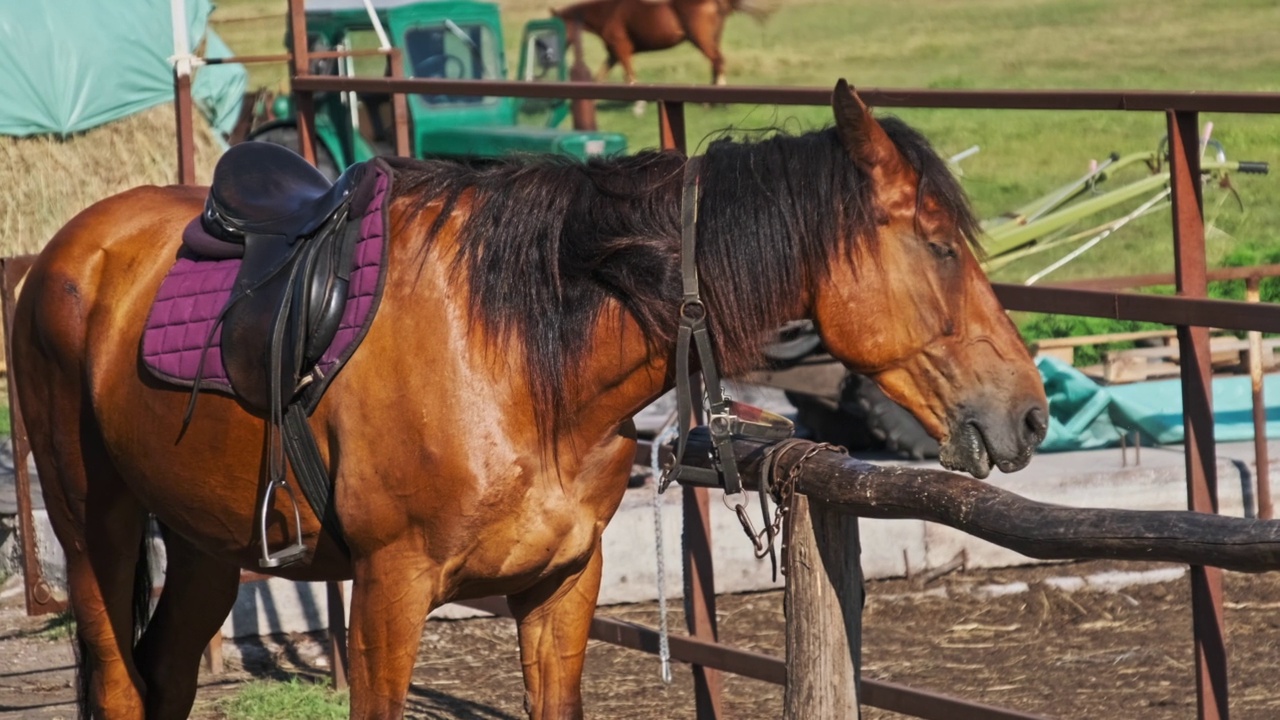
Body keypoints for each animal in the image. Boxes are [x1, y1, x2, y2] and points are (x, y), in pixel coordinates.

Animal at [12, 79, 1049, 717]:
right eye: (940, 248)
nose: (1031, 410)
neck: (523, 360)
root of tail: (69, 250)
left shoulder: (562, 585)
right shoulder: (387, 594)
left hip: (204, 545)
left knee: (165, 674)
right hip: (96, 527)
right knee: (119, 682)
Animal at [550, 0, 768, 86]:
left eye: (556, 28)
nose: (552, 56)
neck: (608, 13)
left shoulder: (622, 50)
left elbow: (630, 77)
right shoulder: (613, 54)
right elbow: (599, 77)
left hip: (701, 40)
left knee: (718, 61)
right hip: (713, 39)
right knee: (716, 63)